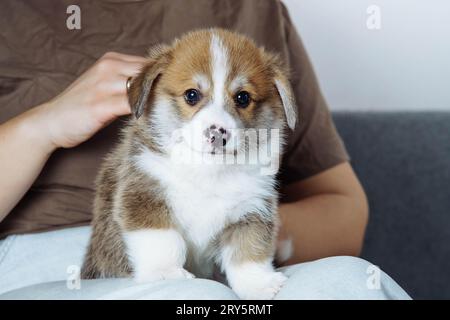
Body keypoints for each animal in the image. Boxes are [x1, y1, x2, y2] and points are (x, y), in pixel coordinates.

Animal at [82, 28, 298, 300]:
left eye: (243, 97)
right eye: (192, 95)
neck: (207, 171)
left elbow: (248, 252)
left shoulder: (251, 210)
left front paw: (258, 285)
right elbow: (162, 241)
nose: (217, 134)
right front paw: (165, 273)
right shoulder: (143, 195)